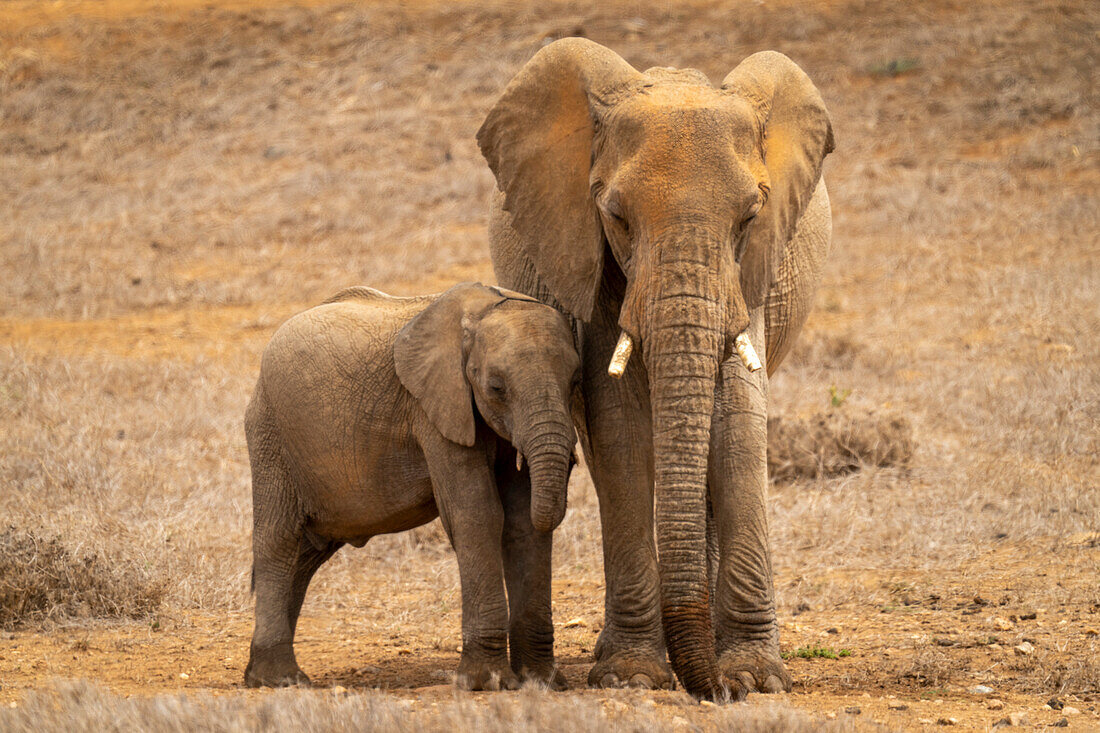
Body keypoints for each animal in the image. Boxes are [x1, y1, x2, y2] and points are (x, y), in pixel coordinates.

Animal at [244, 280, 580, 691]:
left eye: (575, 381)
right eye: (496, 387)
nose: (574, 460)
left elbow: (522, 522)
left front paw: (542, 683)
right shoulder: (433, 411)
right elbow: (477, 514)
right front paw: (487, 684)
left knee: (305, 555)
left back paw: (265, 674)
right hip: (270, 434)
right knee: (280, 542)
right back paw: (281, 680)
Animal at [479, 38, 831, 695]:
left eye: (751, 218)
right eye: (615, 216)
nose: (714, 692)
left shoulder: (751, 274)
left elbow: (738, 423)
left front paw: (754, 679)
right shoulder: (589, 265)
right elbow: (618, 432)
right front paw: (631, 677)